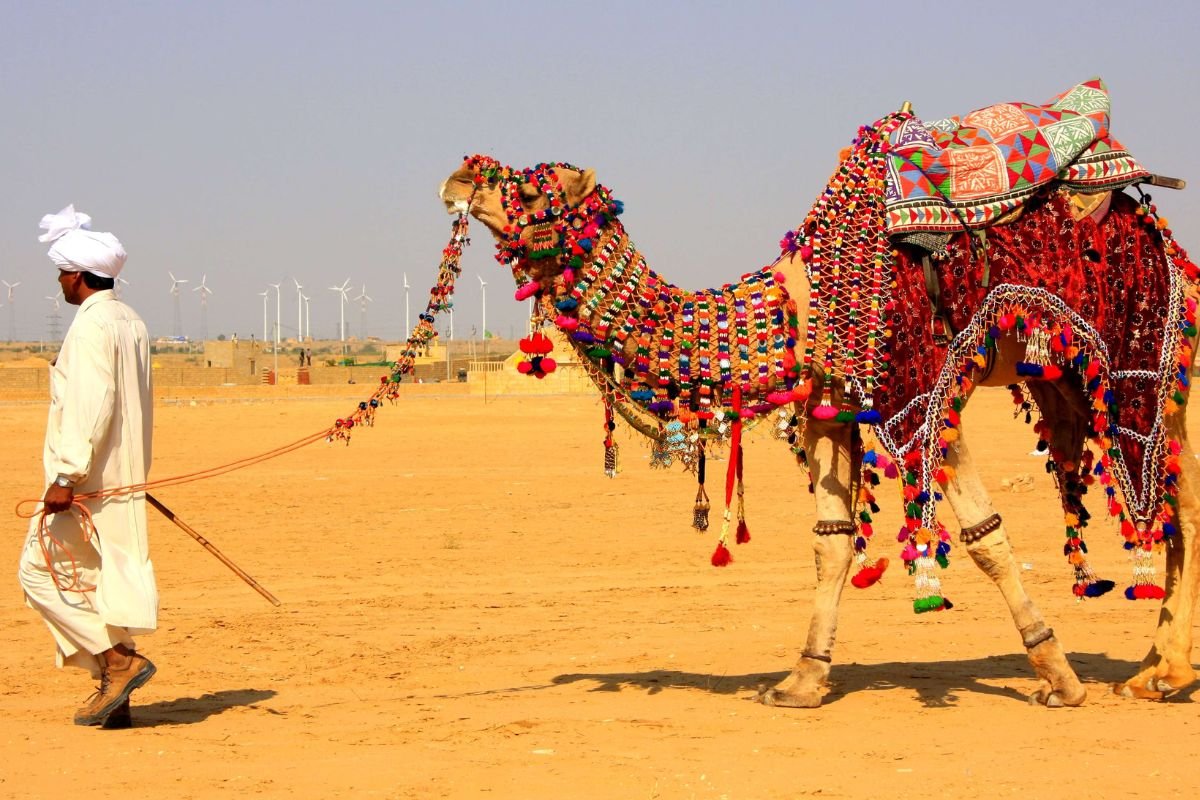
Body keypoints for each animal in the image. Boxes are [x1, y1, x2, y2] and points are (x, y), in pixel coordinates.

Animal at [438, 111, 1199, 707]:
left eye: (527, 185)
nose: (458, 175)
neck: (796, 309)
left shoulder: (922, 392)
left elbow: (985, 536)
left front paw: (1059, 677)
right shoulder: (832, 410)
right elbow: (831, 544)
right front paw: (801, 680)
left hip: (1150, 364)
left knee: (1178, 502)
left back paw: (1161, 675)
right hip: (1070, 379)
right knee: (1165, 503)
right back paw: (1152, 669)